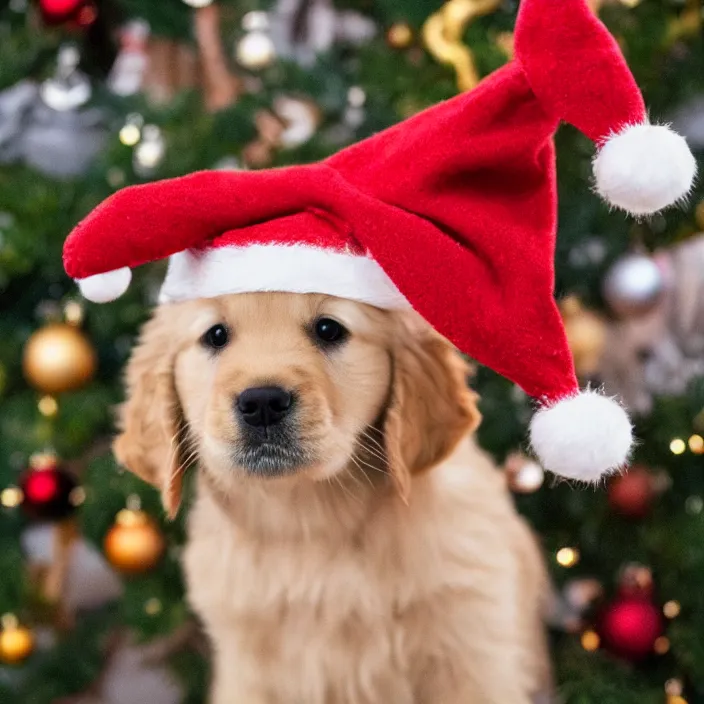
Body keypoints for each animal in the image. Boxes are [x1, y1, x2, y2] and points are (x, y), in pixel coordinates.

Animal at [115, 292, 552, 704]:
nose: (262, 403)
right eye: (215, 335)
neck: (312, 521)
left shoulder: (470, 658)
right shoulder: (251, 674)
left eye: (329, 329)